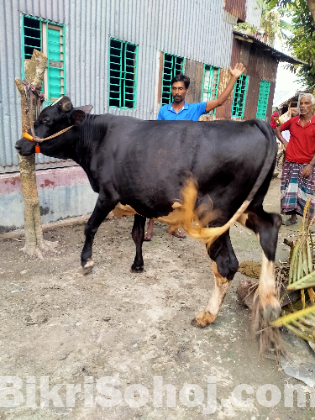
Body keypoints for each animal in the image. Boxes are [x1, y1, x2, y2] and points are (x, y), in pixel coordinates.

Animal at [14, 97, 282, 326]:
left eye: (47, 120)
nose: (19, 144)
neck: (98, 139)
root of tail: (253, 123)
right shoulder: (139, 198)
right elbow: (137, 235)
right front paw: (138, 265)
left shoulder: (108, 194)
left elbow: (90, 226)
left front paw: (86, 260)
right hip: (249, 206)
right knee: (271, 225)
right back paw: (270, 302)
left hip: (216, 215)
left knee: (227, 263)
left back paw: (207, 315)